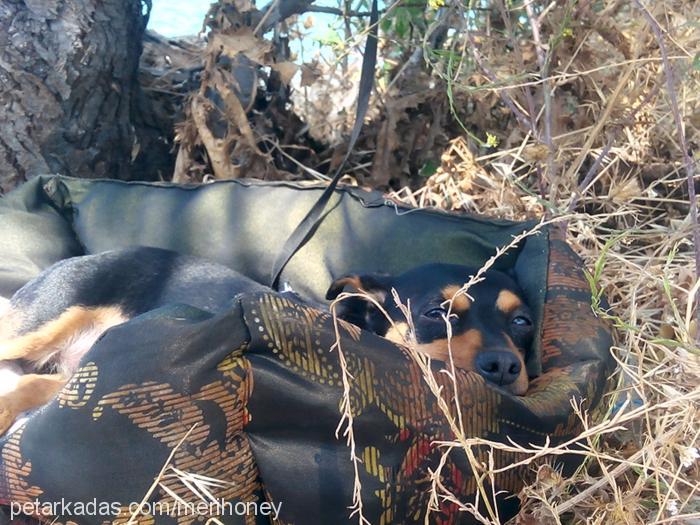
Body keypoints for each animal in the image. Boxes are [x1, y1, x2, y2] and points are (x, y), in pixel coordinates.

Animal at [0, 248, 532, 436]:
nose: (504, 366)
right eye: (435, 313)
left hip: (81, 370)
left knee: (27, 386)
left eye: (524, 321)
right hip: (36, 327)